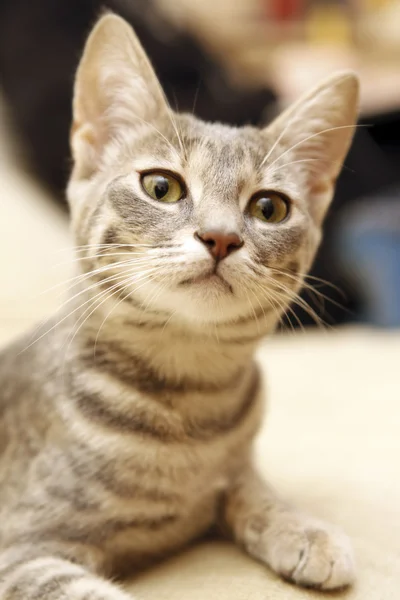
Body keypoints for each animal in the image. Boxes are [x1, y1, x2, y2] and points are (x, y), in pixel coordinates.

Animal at [0, 14, 360, 600]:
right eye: (161, 187)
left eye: (269, 207)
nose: (220, 238)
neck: (190, 400)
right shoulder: (22, 549)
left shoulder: (230, 471)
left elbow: (250, 489)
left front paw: (301, 527)